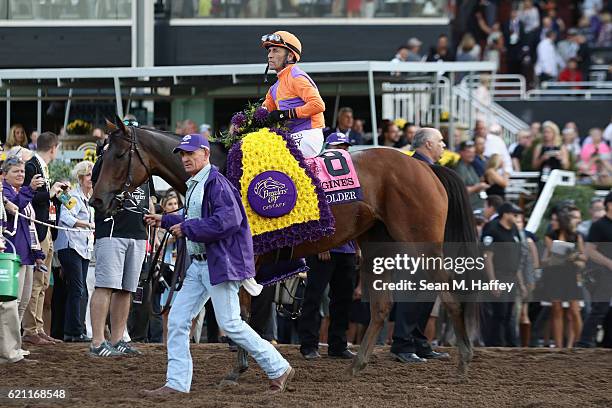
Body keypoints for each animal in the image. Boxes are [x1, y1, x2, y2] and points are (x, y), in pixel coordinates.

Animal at [91, 117, 480, 382]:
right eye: (99, 156)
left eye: (120, 154)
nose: (97, 201)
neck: (223, 172)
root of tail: (426, 168)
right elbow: (242, 314)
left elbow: (243, 315)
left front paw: (242, 366)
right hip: (375, 243)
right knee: (383, 306)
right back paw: (357, 365)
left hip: (420, 242)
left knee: (449, 294)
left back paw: (463, 360)